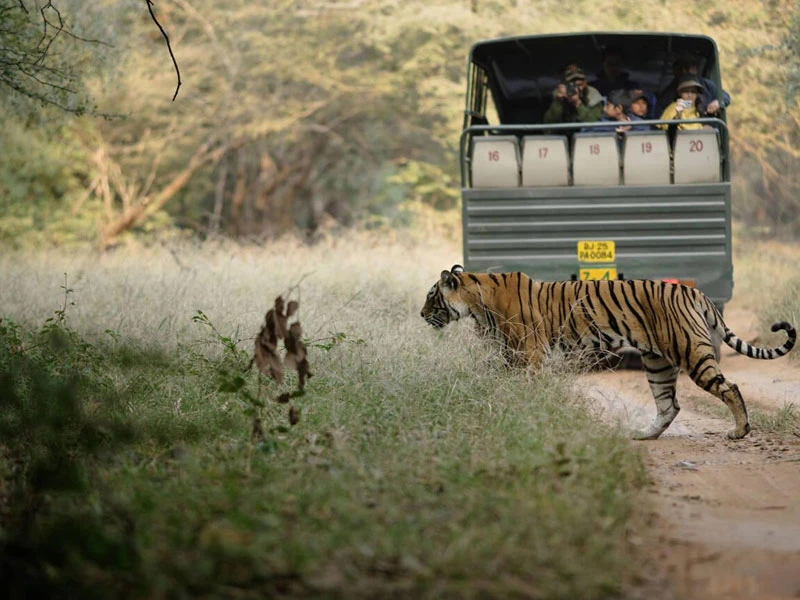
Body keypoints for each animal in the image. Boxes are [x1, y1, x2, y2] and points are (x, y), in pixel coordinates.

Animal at [420, 265, 797, 440]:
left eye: (431, 295)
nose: (422, 315)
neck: (476, 303)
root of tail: (695, 293)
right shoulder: (508, 357)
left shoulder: (529, 355)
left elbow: (525, 389)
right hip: (657, 363)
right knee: (669, 405)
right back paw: (644, 435)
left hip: (690, 351)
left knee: (729, 387)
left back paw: (740, 431)